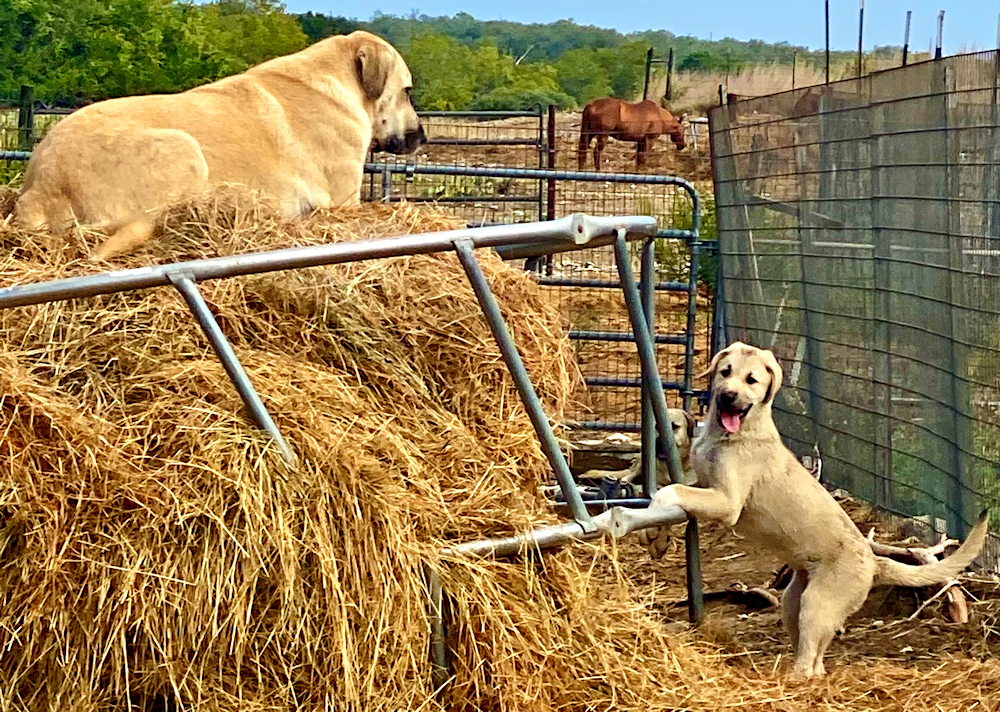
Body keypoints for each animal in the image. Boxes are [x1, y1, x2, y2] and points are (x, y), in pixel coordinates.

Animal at [644, 344, 988, 680]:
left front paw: (652, 523)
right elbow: (674, 494)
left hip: (816, 603)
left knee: (809, 658)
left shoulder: (727, 501)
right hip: (793, 602)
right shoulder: (703, 483)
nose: (728, 396)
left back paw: (791, 682)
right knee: (817, 657)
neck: (732, 433)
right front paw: (658, 539)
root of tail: (874, 562)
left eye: (751, 380)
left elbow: (669, 491)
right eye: (725, 372)